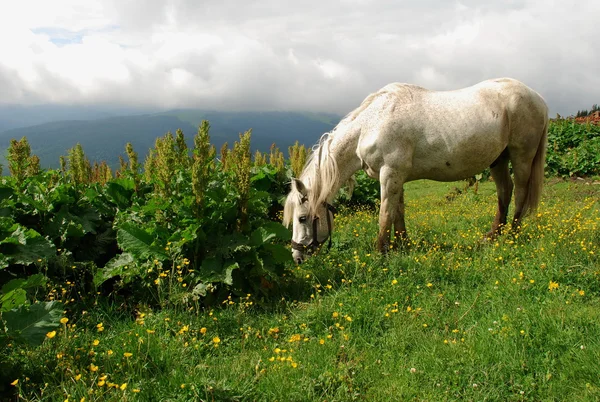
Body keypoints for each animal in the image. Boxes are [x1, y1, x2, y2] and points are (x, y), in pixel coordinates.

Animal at [284, 77, 552, 264]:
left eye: (302, 218)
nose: (297, 257)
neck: (371, 124)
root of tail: (538, 98)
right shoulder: (396, 177)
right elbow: (398, 212)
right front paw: (403, 245)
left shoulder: (390, 175)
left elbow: (385, 214)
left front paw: (381, 253)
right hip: (498, 160)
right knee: (504, 191)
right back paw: (492, 236)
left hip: (521, 156)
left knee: (520, 192)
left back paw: (512, 236)